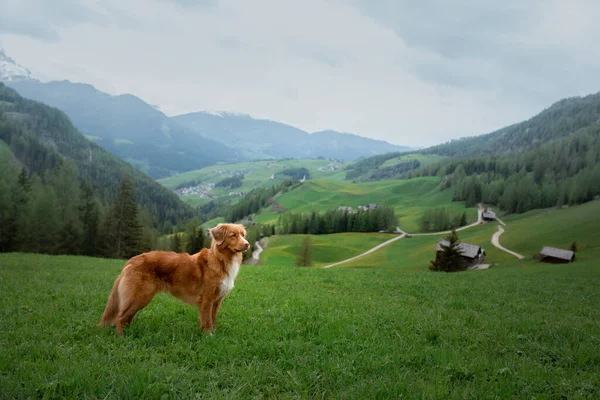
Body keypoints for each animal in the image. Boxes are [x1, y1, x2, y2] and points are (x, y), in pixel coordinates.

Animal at [98, 223, 248, 336]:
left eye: (243, 235)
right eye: (233, 235)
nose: (247, 244)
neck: (221, 260)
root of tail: (132, 260)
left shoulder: (216, 301)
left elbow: (212, 319)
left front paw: (210, 334)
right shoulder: (207, 299)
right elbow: (207, 321)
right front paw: (208, 336)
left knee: (127, 317)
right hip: (140, 296)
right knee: (120, 317)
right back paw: (122, 337)